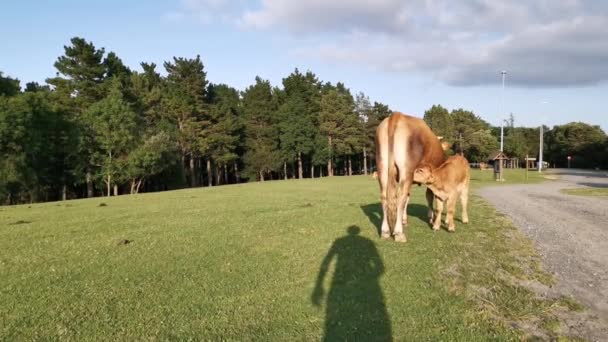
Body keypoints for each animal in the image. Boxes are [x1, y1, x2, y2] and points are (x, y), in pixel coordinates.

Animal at [372, 111, 444, 240]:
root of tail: (397, 115)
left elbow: (410, 198)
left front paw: (404, 220)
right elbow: (429, 196)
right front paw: (431, 218)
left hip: (382, 166)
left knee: (385, 196)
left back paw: (385, 231)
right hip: (406, 169)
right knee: (401, 196)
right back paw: (399, 233)